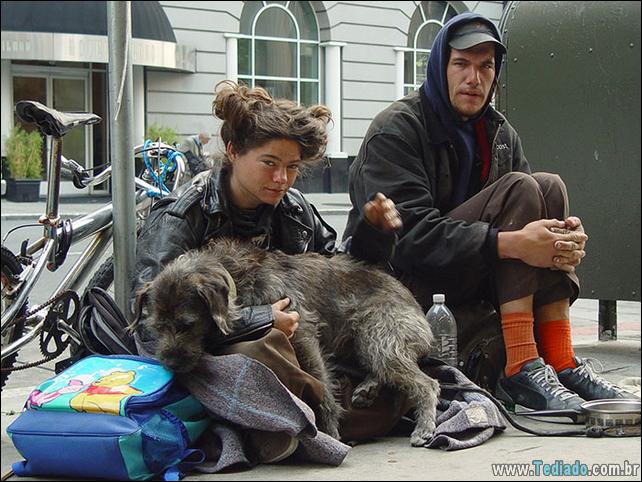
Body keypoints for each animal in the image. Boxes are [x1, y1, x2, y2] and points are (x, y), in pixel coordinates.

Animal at [139, 237, 440, 444]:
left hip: (380, 336)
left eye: (186, 325)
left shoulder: (303, 331)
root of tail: (416, 304)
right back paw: (368, 388)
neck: (236, 276)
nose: (170, 363)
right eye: (157, 327)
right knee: (383, 368)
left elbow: (322, 383)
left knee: (424, 382)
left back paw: (424, 425)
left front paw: (330, 431)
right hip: (363, 342)